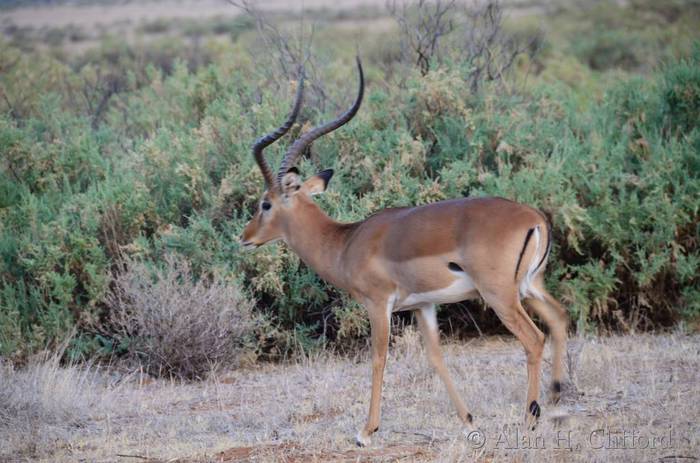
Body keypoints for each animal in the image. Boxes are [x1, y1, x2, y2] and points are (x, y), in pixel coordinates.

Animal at [241, 58, 568, 446]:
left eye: (265, 204)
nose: (244, 237)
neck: (346, 241)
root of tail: (534, 217)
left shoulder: (378, 304)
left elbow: (378, 358)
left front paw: (365, 432)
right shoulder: (423, 306)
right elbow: (436, 357)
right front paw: (468, 420)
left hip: (500, 295)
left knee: (534, 339)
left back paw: (531, 417)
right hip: (530, 287)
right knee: (559, 318)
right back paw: (557, 401)